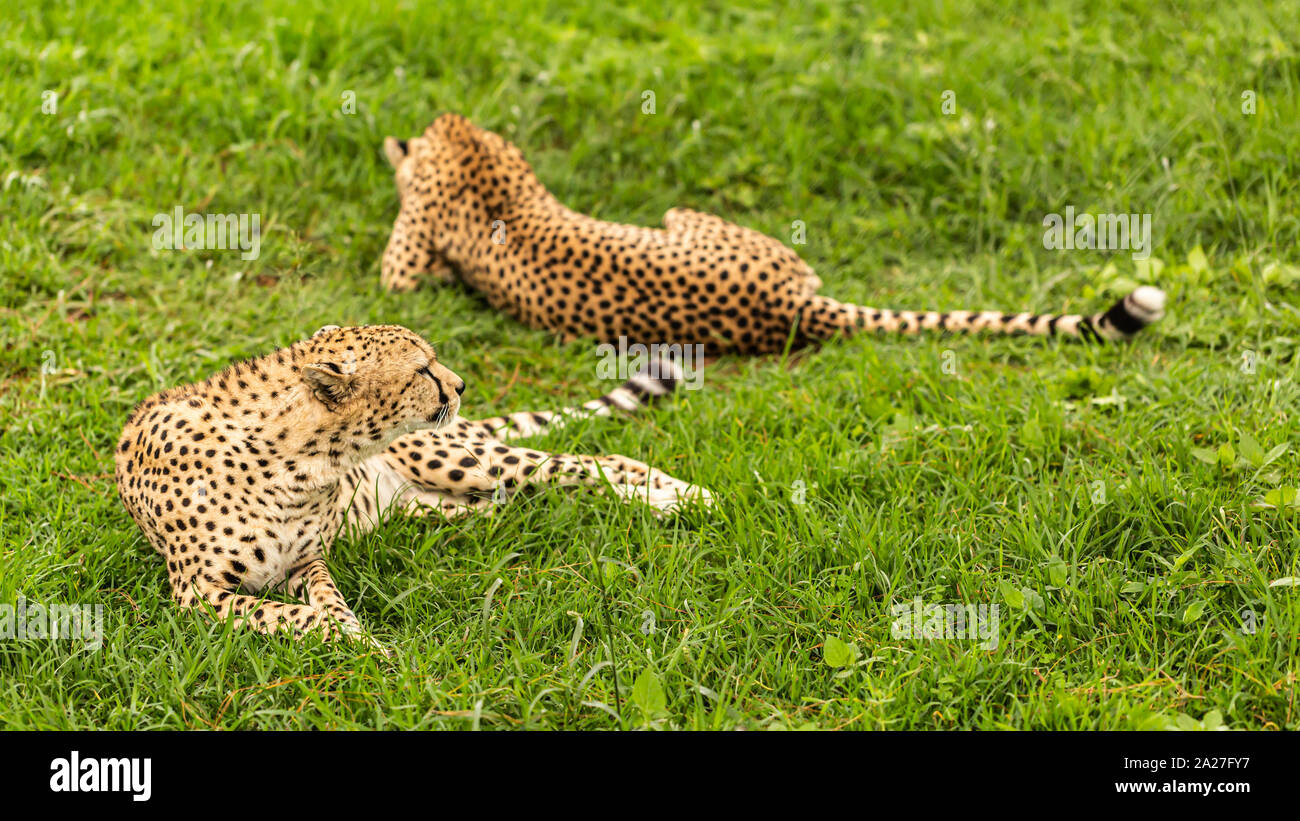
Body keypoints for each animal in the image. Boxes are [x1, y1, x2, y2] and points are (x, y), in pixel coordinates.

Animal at [116, 323, 712, 644]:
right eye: (422, 369)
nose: (461, 385)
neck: (303, 459)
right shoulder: (198, 592)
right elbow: (300, 613)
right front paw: (356, 644)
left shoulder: (305, 561)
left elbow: (325, 604)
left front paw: (362, 644)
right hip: (441, 503)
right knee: (514, 504)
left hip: (468, 460)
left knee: (593, 463)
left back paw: (681, 497)